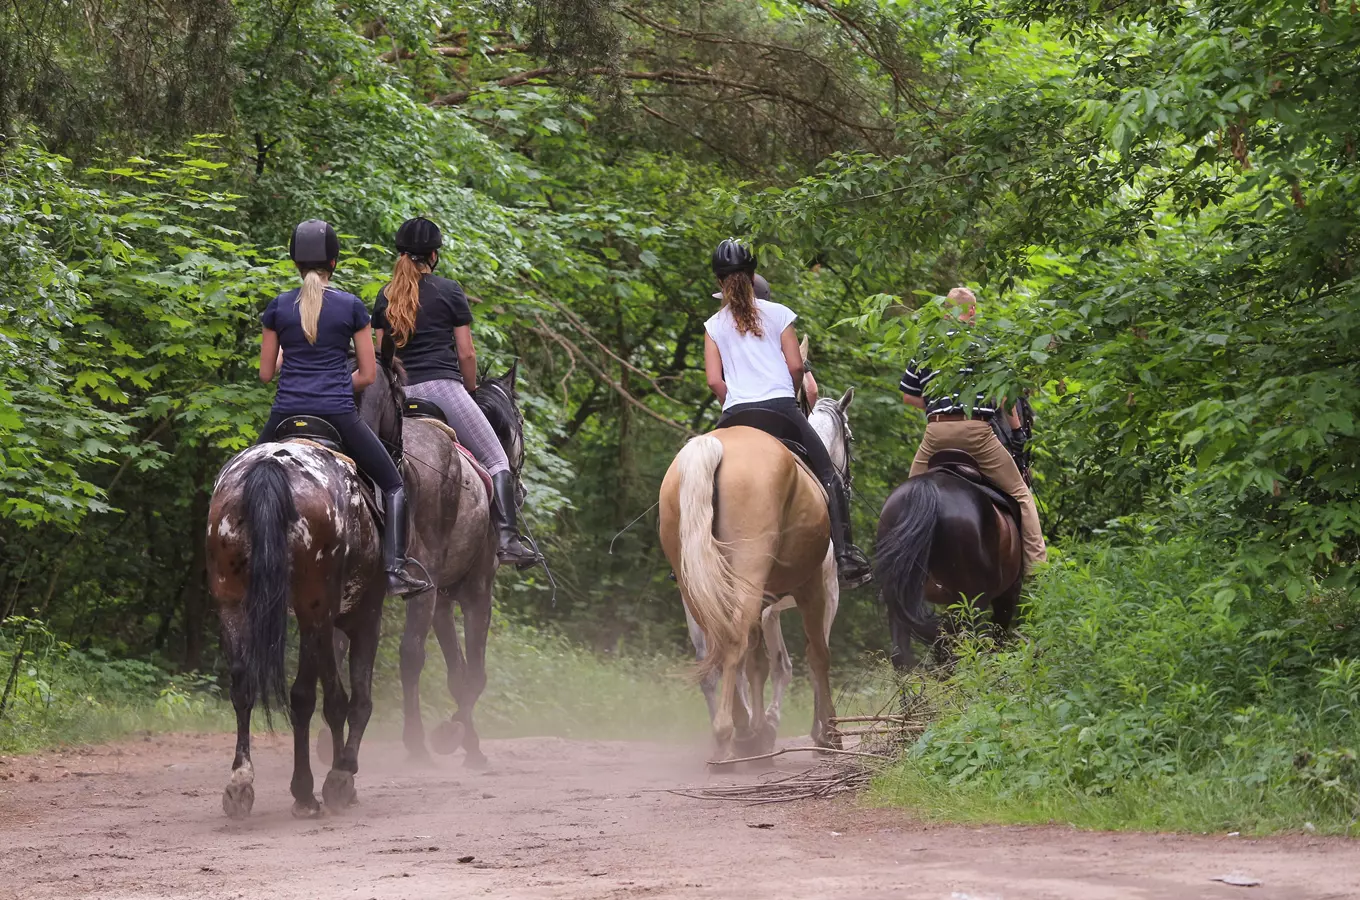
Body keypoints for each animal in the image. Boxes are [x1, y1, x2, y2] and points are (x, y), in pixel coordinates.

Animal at [870, 464, 1022, 668]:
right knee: (964, 648)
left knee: (900, 653)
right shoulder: (1007, 594)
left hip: (899, 597)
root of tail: (927, 488)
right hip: (973, 600)